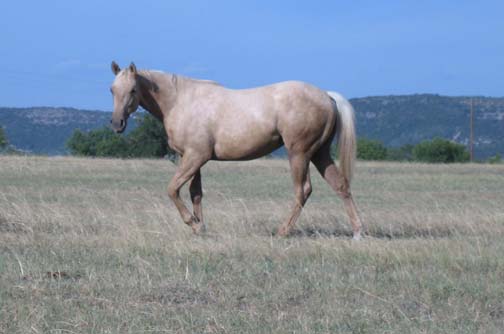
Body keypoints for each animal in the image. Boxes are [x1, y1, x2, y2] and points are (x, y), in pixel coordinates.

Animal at [109, 62, 362, 240]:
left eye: (133, 89)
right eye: (112, 89)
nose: (117, 123)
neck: (181, 101)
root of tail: (327, 96)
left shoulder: (195, 157)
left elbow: (172, 189)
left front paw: (192, 222)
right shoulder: (192, 158)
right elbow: (195, 193)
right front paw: (200, 227)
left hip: (299, 154)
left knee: (303, 191)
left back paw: (283, 231)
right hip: (320, 154)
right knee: (341, 185)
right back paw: (358, 231)